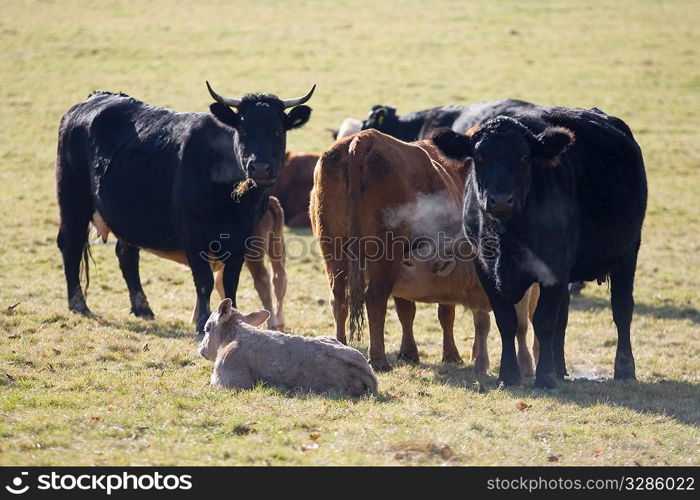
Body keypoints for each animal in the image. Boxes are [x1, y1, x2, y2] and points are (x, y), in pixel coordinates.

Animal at [54, 82, 314, 334]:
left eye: (277, 131)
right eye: (243, 130)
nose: (259, 168)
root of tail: (94, 98)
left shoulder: (243, 239)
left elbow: (230, 282)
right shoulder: (193, 235)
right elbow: (204, 280)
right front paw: (202, 322)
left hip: (127, 217)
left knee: (126, 255)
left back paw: (142, 307)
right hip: (73, 200)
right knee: (71, 244)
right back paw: (79, 304)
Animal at [310, 128, 536, 376]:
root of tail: (364, 139)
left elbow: (406, 309)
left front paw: (409, 352)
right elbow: (446, 311)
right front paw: (451, 354)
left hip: (334, 251)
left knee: (339, 297)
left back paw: (340, 347)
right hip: (385, 256)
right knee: (375, 298)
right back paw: (378, 360)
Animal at [432, 106, 644, 390]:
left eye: (523, 157)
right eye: (479, 156)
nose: (501, 200)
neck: (506, 237)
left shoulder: (553, 267)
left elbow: (543, 321)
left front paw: (544, 378)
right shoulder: (484, 267)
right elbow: (507, 321)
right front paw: (509, 375)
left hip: (628, 253)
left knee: (622, 308)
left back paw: (624, 369)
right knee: (563, 315)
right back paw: (560, 368)